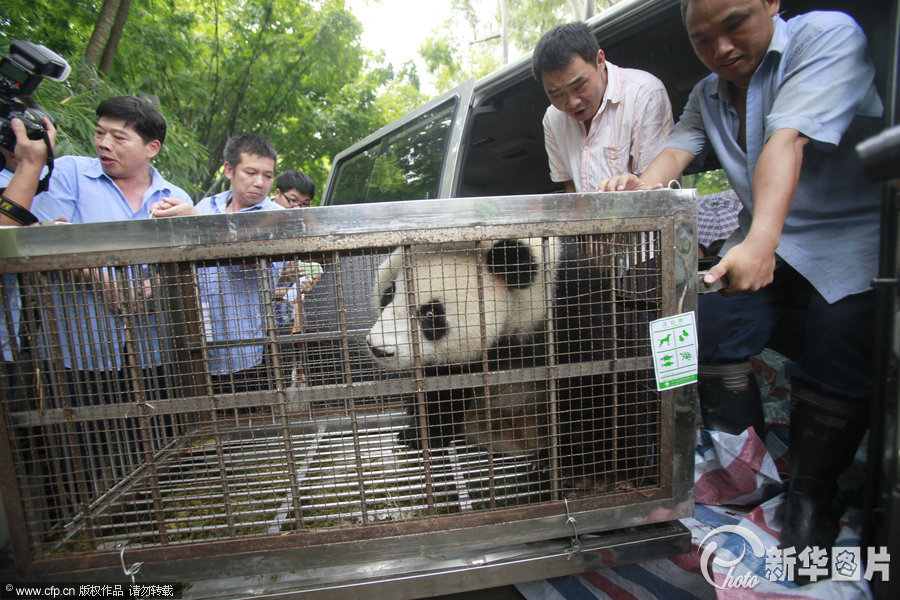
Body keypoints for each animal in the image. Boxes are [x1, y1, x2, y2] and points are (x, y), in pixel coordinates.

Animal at [364, 237, 620, 486]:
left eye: (431, 314)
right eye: (389, 292)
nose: (378, 348)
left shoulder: (575, 310)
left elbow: (593, 388)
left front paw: (566, 466)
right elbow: (443, 387)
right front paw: (422, 434)